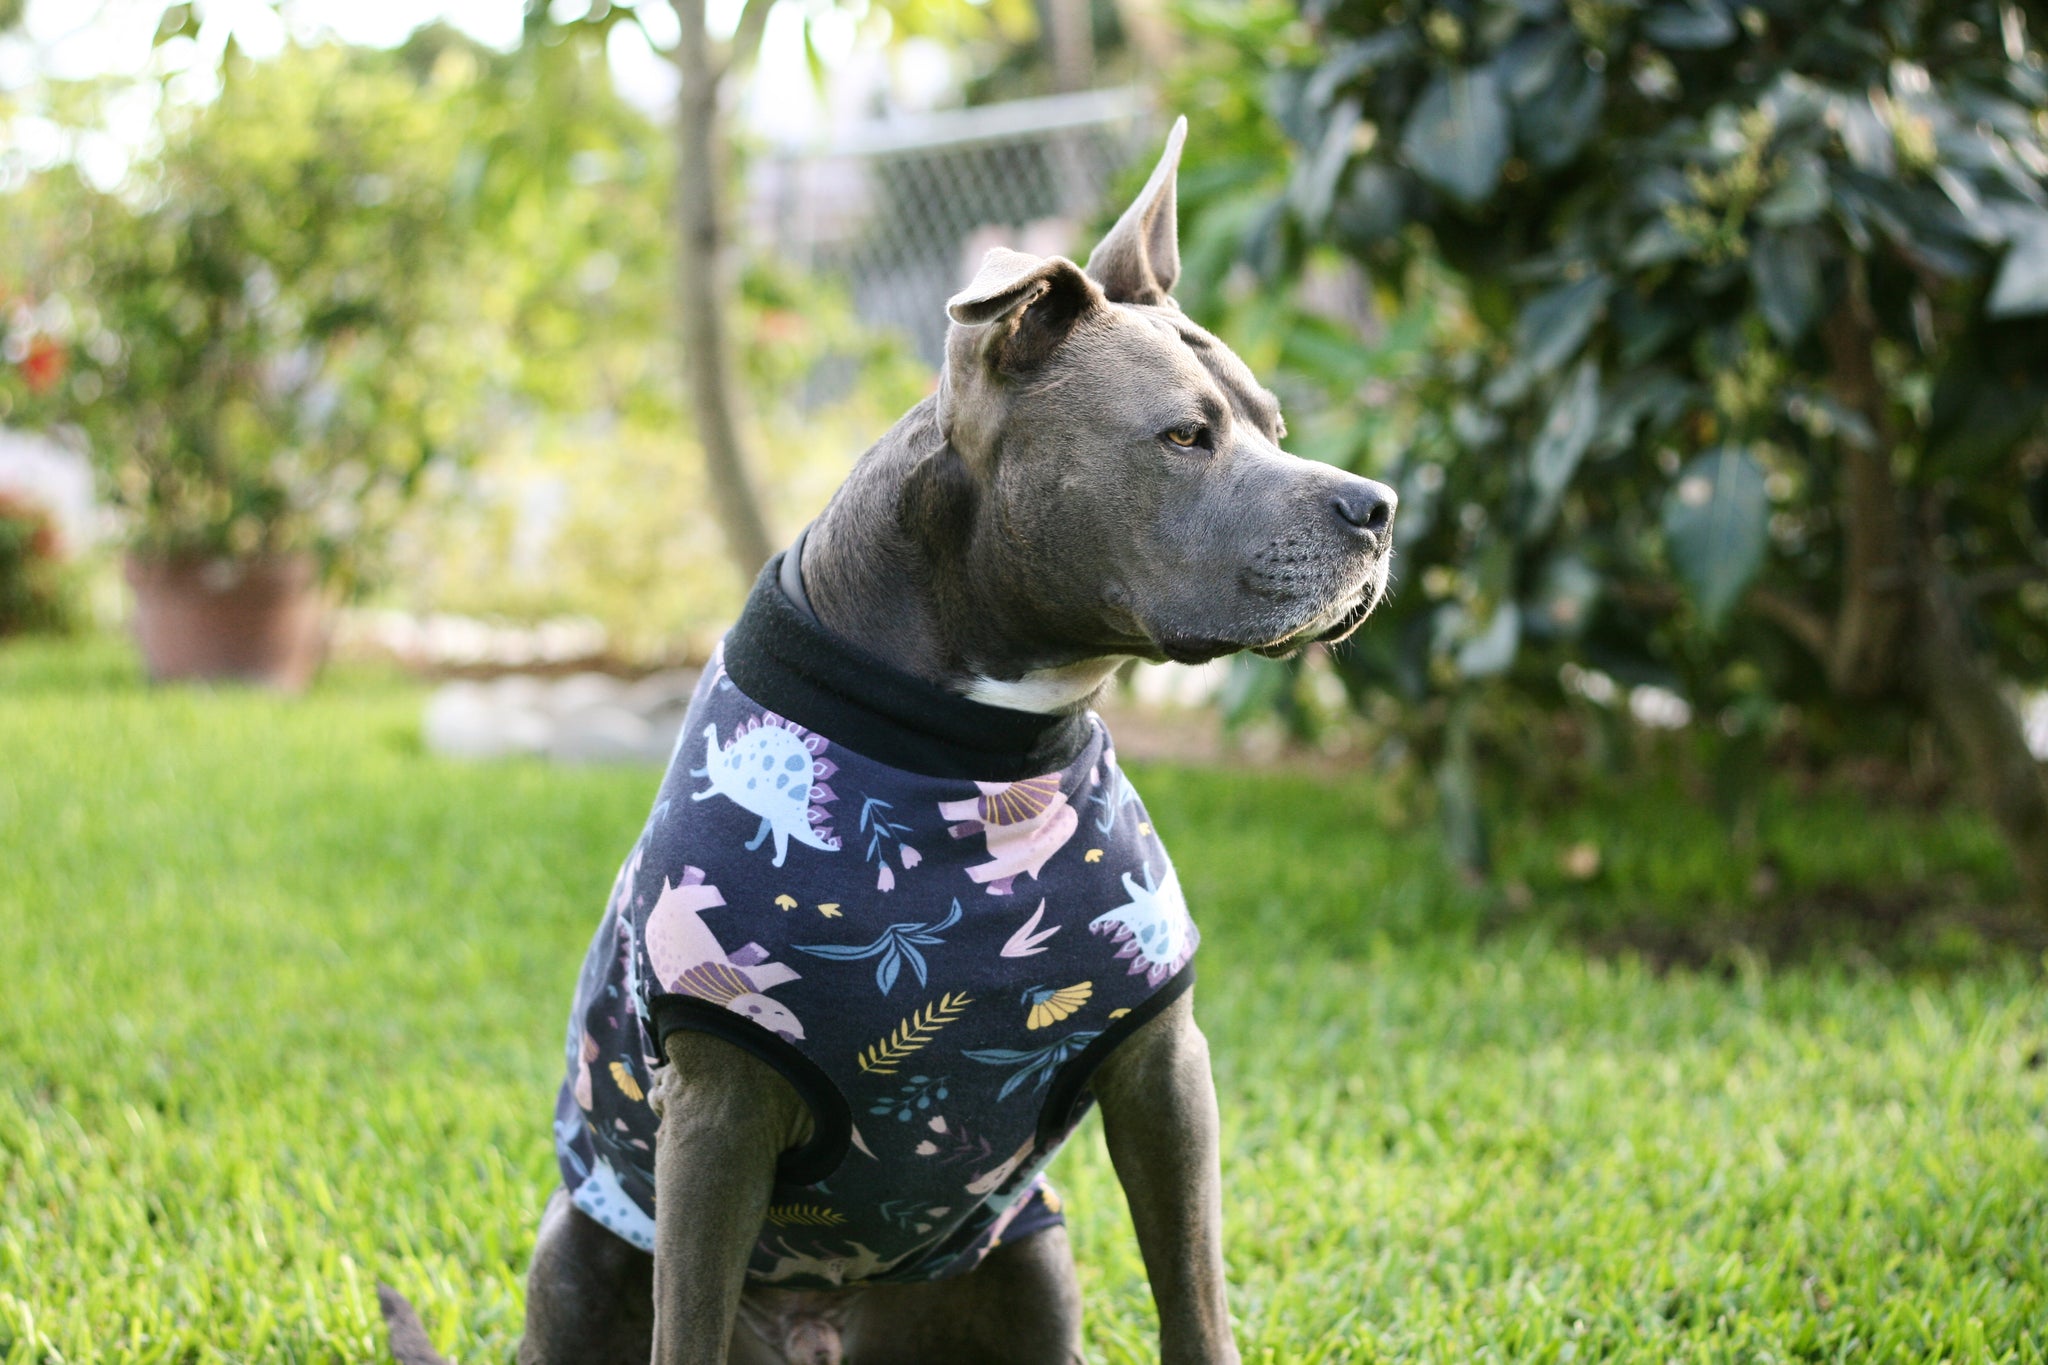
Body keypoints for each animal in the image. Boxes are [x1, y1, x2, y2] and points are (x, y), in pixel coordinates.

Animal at [382, 120, 1392, 1365]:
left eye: (1272, 426)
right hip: (580, 1241)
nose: (1379, 506)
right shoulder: (717, 1110)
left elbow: (1193, 1297)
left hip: (1032, 1259)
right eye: (1184, 436)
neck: (975, 739)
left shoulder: (1163, 1072)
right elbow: (686, 1316)